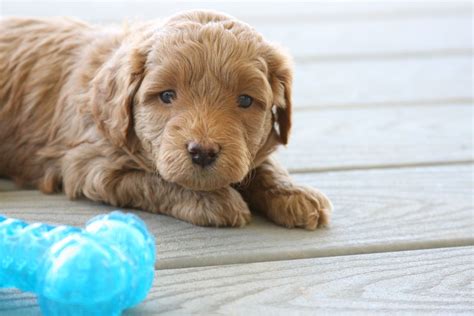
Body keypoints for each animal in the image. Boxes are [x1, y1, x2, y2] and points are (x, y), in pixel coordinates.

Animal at [0, 10, 332, 230]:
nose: (203, 152)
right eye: (167, 95)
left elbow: (263, 166)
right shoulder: (91, 166)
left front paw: (294, 193)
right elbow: (154, 181)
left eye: (246, 101)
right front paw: (214, 200)